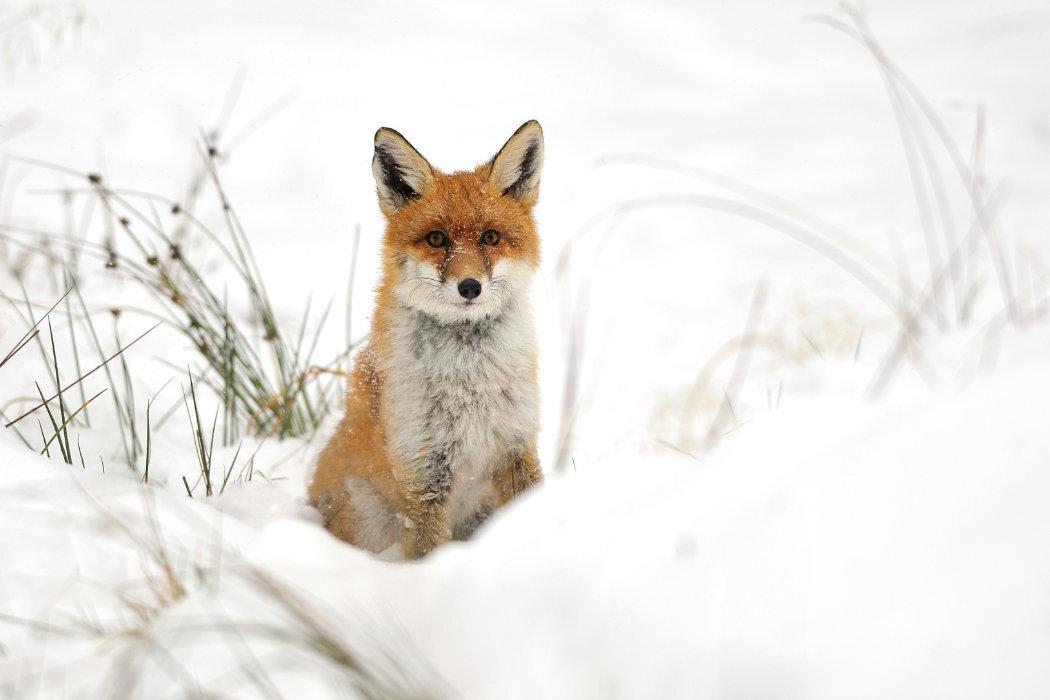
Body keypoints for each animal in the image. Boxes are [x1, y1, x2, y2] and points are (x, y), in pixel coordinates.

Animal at [306, 120, 546, 558]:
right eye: (436, 239)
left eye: (490, 237)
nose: (470, 287)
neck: (471, 383)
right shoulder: (424, 471)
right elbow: (428, 548)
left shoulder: (517, 445)